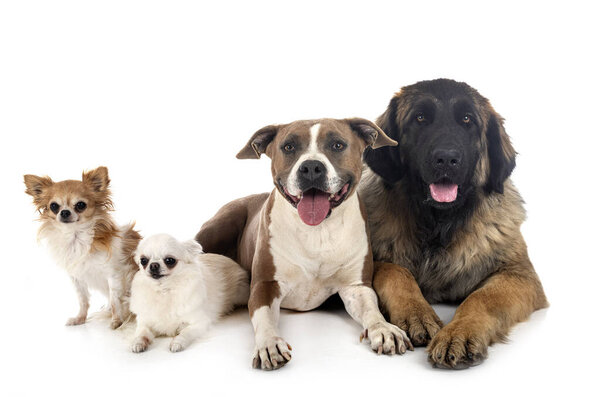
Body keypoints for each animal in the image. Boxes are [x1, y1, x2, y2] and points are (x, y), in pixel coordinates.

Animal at [24, 166, 141, 326]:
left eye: (80, 205)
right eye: (54, 206)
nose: (64, 212)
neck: (76, 239)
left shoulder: (114, 275)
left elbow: (114, 300)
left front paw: (117, 321)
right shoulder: (77, 278)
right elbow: (83, 300)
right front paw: (80, 318)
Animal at [197, 117, 412, 368]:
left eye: (338, 145)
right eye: (289, 146)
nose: (311, 167)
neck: (318, 232)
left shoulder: (356, 286)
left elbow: (371, 309)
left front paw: (384, 329)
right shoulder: (265, 284)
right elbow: (264, 317)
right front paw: (269, 343)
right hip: (221, 225)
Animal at [358, 79, 552, 370]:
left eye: (467, 119)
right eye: (420, 118)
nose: (447, 159)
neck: (438, 224)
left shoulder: (519, 274)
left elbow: (482, 298)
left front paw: (459, 334)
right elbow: (395, 272)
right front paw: (416, 313)